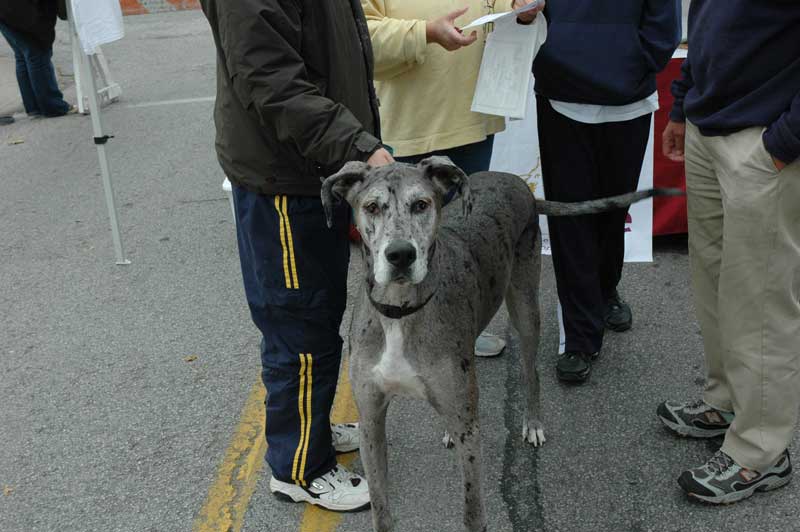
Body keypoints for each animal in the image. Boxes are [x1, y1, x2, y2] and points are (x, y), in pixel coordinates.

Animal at [318, 158, 676, 532]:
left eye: (421, 204)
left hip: (525, 307)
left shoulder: (470, 436)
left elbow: (473, 512)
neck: (400, 312)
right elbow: (382, 509)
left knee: (531, 372)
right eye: (372, 207)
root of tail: (515, 182)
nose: (400, 254)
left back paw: (533, 423)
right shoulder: (371, 421)